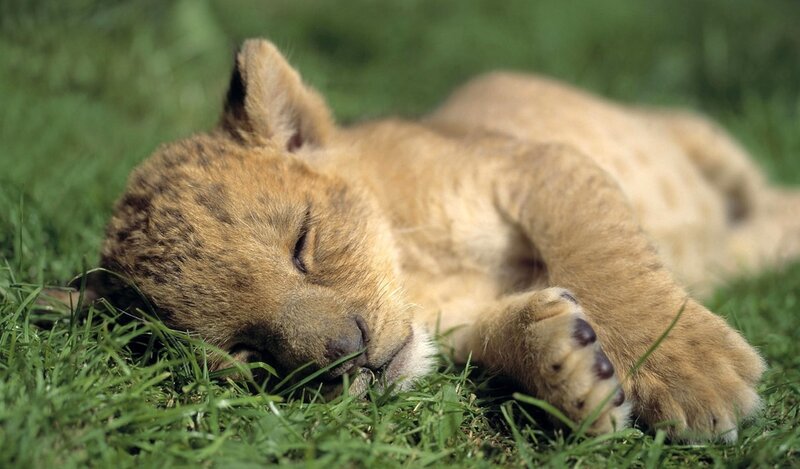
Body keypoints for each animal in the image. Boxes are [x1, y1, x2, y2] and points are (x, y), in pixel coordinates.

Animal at [61, 39, 800, 442]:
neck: (420, 273)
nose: (347, 357)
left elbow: (606, 257)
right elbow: (506, 333)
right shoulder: (460, 328)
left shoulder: (537, 164)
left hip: (700, 137)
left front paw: (694, 376)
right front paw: (567, 368)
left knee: (764, 196)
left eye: (303, 243)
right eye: (247, 350)